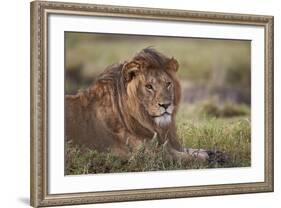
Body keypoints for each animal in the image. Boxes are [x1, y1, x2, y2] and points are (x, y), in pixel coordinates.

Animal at [65, 48, 223, 162]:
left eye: (168, 83)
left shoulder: (165, 142)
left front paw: (212, 152)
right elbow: (186, 157)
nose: (166, 105)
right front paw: (205, 156)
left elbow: (189, 149)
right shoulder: (147, 153)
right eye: (149, 86)